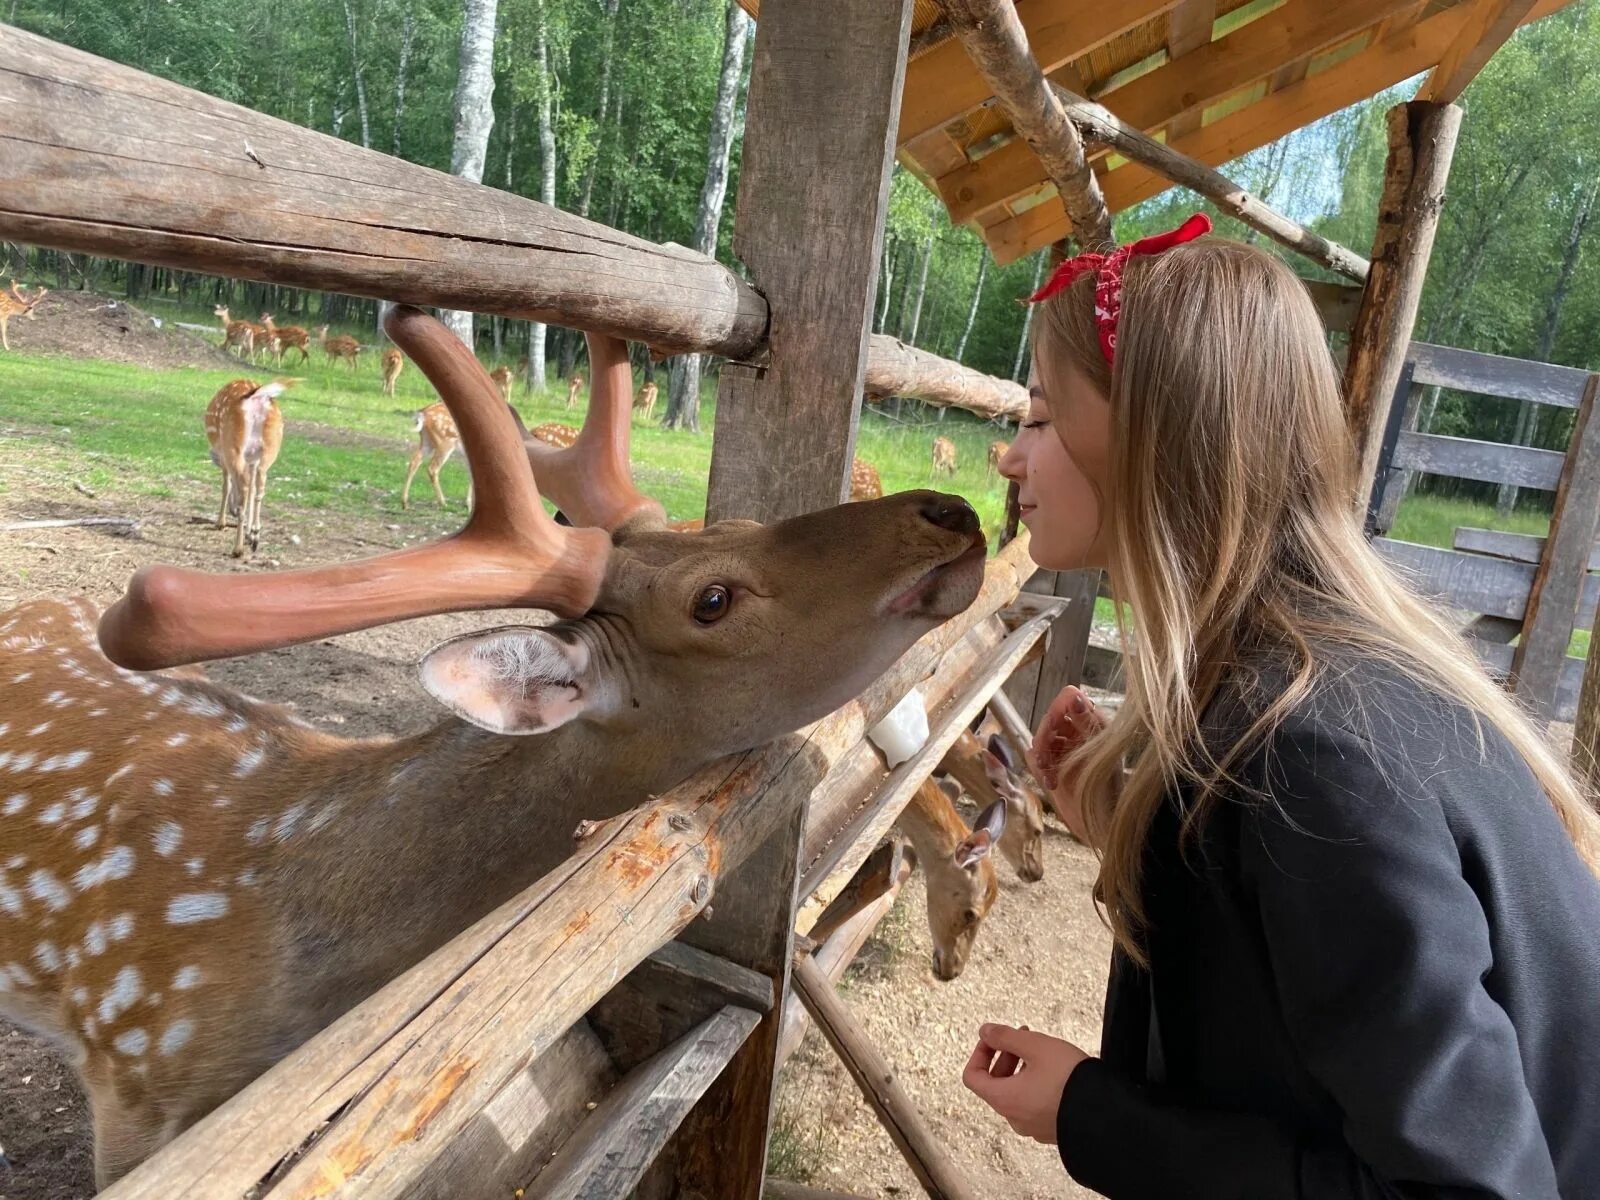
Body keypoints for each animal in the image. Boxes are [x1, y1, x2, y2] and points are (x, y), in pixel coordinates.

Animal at [203, 377, 294, 563]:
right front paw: (249, 533)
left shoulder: (225, 457)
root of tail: (257, 398)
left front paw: (220, 522)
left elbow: (227, 485)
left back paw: (237, 549)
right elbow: (252, 489)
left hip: (233, 446)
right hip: (270, 449)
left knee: (244, 489)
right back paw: (255, 535)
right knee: (259, 488)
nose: (232, 511)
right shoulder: (252, 460)